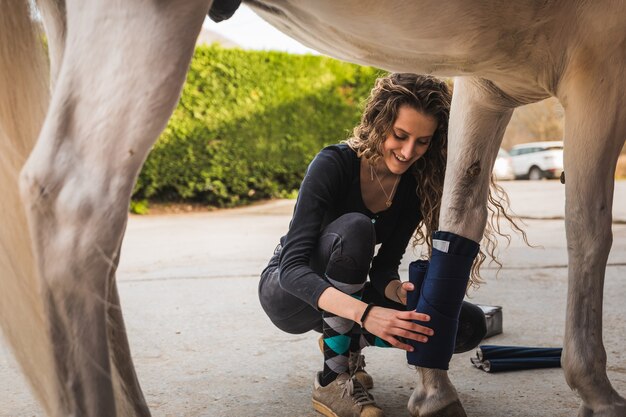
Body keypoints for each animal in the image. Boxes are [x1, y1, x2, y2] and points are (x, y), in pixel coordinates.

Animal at [0, 0, 620, 416]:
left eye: (419, 143)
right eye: (401, 136)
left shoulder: (485, 83)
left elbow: (458, 220)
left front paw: (433, 388)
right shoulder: (600, 61)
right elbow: (589, 233)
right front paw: (597, 390)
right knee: (75, 209)